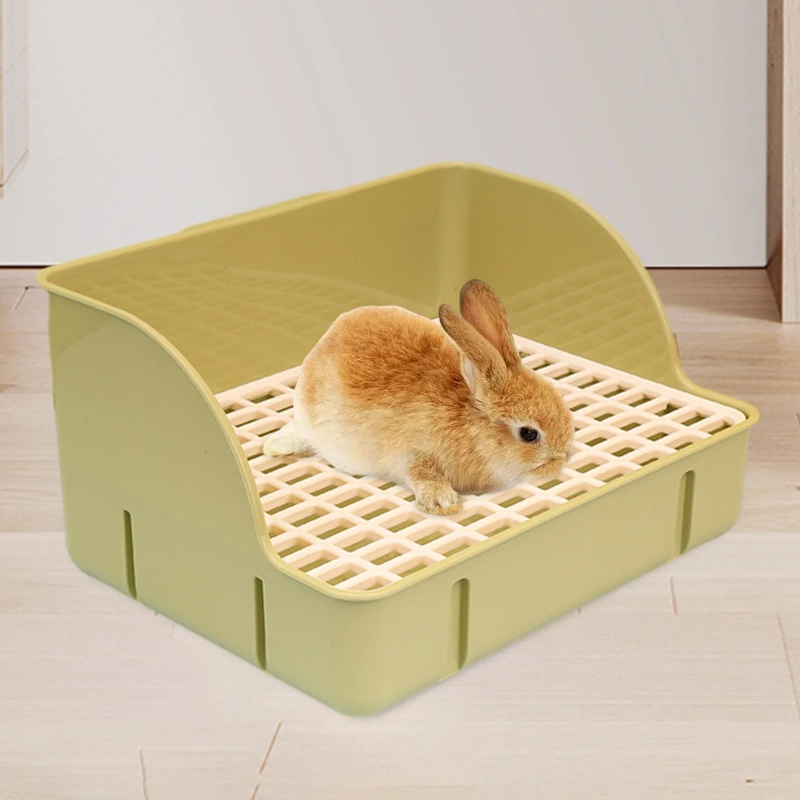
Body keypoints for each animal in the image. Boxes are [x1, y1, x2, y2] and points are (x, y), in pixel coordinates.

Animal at [263, 279, 575, 516]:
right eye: (529, 434)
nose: (563, 457)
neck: (470, 424)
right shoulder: (414, 454)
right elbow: (423, 474)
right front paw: (442, 503)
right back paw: (277, 446)